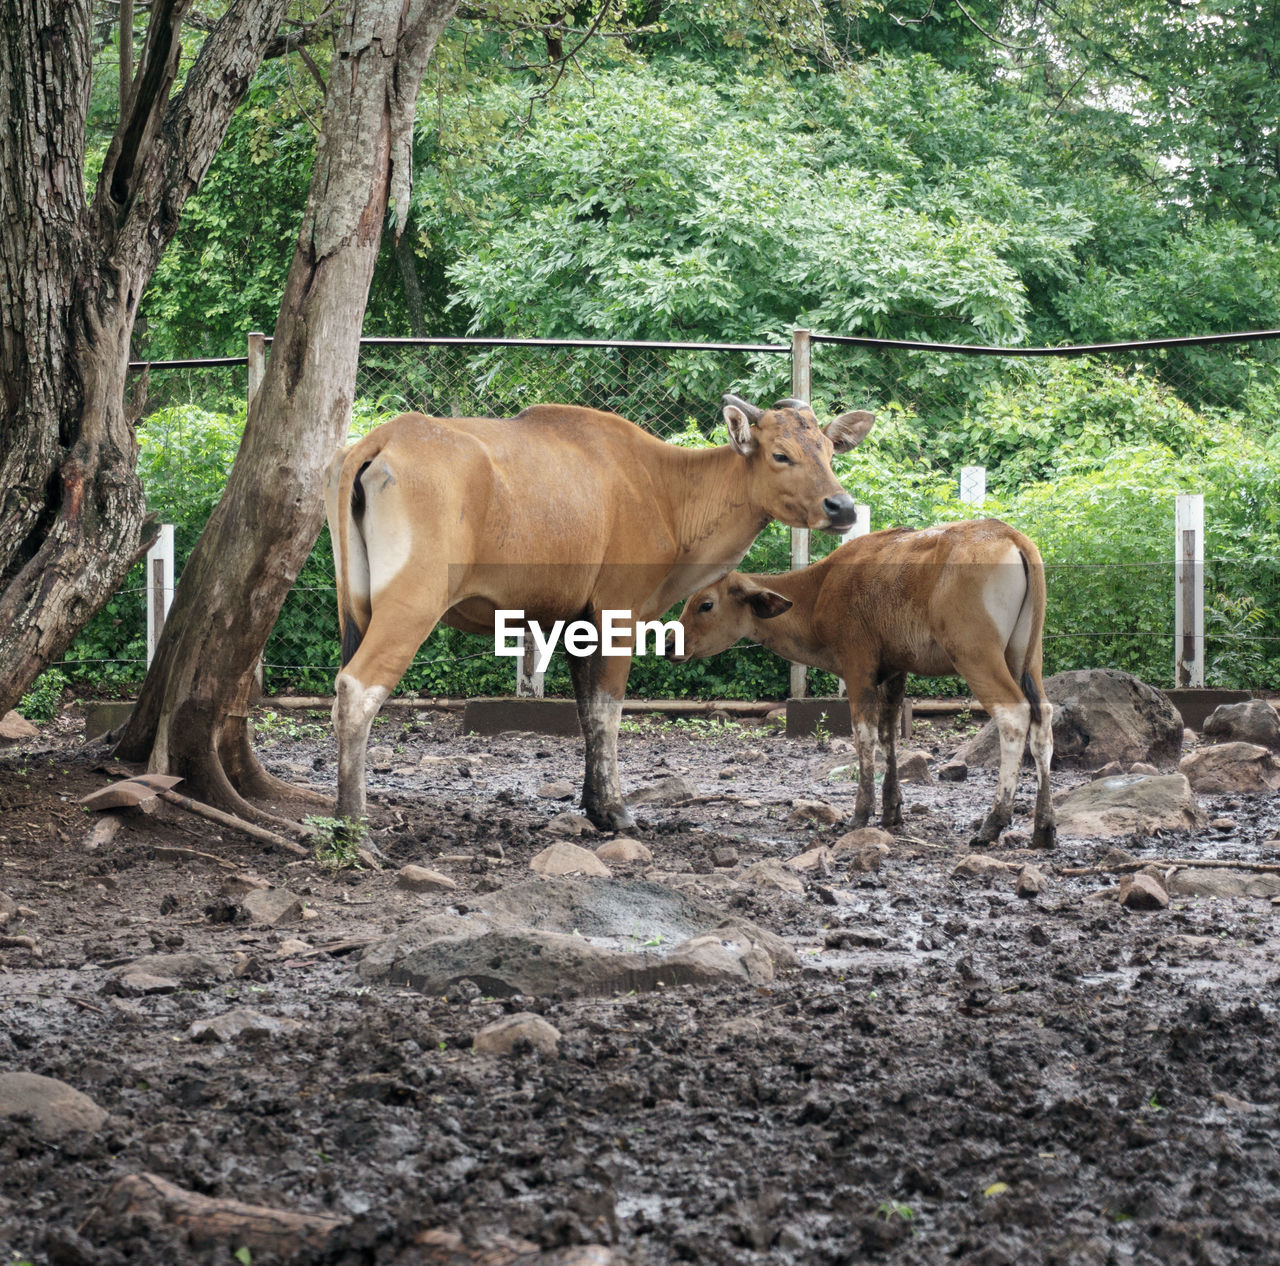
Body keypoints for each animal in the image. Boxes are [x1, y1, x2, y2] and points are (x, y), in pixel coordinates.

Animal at [325, 394, 875, 829]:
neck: (669, 491)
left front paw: (594, 804)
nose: (842, 507)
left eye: (829, 452)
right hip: (412, 605)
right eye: (781, 454)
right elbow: (609, 712)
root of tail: (382, 441)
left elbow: (587, 713)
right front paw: (615, 810)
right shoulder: (618, 613)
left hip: (356, 607)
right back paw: (354, 827)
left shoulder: (575, 624)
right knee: (357, 689)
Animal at [675, 519, 1054, 844]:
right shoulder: (895, 671)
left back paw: (994, 822)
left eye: (705, 604)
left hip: (976, 655)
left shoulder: (858, 667)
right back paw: (1044, 827)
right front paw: (891, 811)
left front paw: (861, 813)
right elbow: (889, 735)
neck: (819, 589)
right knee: (1043, 718)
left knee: (1014, 716)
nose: (669, 644)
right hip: (1027, 658)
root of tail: (1010, 536)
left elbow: (864, 737)